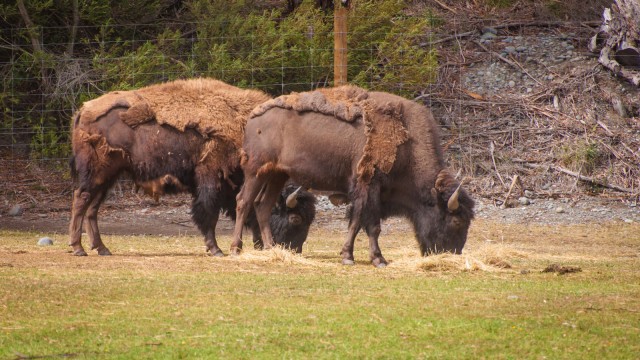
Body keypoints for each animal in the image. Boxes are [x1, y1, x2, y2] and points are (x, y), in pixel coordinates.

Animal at [68, 79, 316, 258]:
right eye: (296, 219)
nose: (295, 250)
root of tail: (83, 110)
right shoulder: (211, 178)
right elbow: (208, 213)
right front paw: (216, 250)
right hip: (97, 172)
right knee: (81, 198)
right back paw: (78, 248)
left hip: (109, 176)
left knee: (93, 206)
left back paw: (102, 249)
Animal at [232, 86, 472, 268]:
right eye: (457, 220)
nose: (453, 253)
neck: (408, 144)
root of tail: (252, 118)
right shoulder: (368, 187)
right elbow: (368, 224)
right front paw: (374, 259)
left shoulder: (366, 192)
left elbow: (358, 222)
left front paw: (351, 255)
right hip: (255, 171)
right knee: (243, 202)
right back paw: (236, 248)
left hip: (276, 175)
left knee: (262, 205)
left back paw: (271, 248)